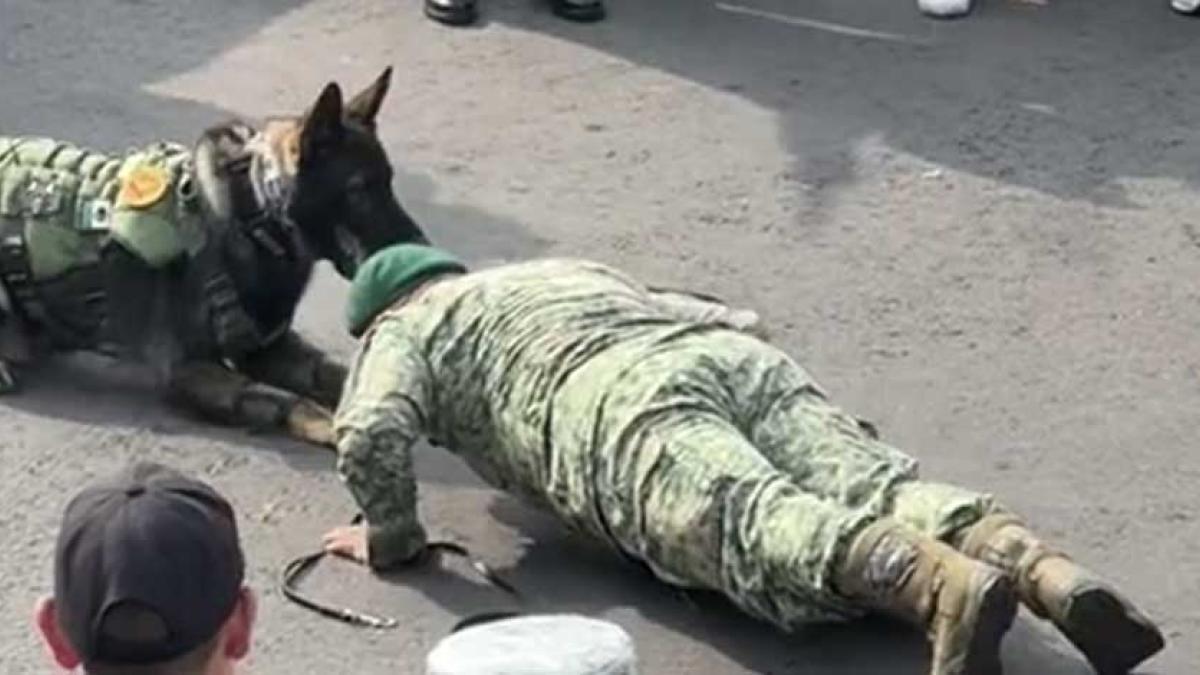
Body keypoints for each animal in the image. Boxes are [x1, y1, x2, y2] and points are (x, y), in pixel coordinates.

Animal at [0, 66, 429, 446]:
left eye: (389, 182)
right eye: (358, 190)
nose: (421, 244)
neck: (256, 218)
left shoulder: (269, 349)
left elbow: (334, 375)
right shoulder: (191, 370)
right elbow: (292, 402)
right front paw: (333, 424)